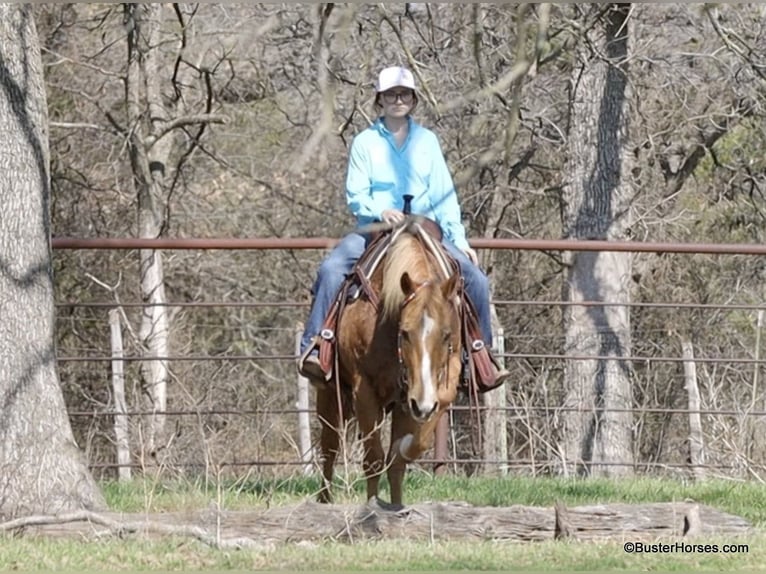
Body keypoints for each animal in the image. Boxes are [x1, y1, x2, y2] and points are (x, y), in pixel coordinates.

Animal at [314, 222, 462, 508]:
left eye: (447, 335)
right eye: (404, 333)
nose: (422, 405)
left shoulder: (426, 391)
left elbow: (403, 454)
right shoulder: (364, 390)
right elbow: (373, 459)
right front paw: (372, 507)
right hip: (329, 393)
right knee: (329, 447)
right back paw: (323, 502)